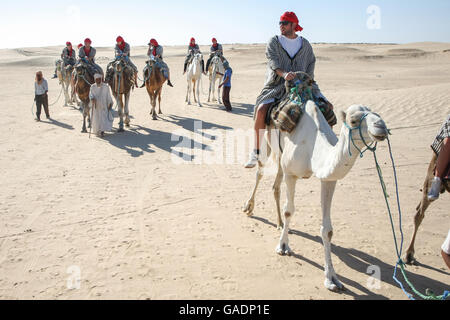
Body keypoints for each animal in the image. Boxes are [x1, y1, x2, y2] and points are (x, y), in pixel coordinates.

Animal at [244, 101, 388, 292]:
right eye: (353, 120)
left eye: (378, 115)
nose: (381, 127)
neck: (314, 149)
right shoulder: (291, 174)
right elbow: (289, 210)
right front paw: (283, 246)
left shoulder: (329, 179)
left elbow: (328, 230)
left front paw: (332, 279)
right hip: (267, 142)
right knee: (260, 172)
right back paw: (249, 207)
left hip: (282, 156)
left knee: (275, 186)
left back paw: (279, 223)